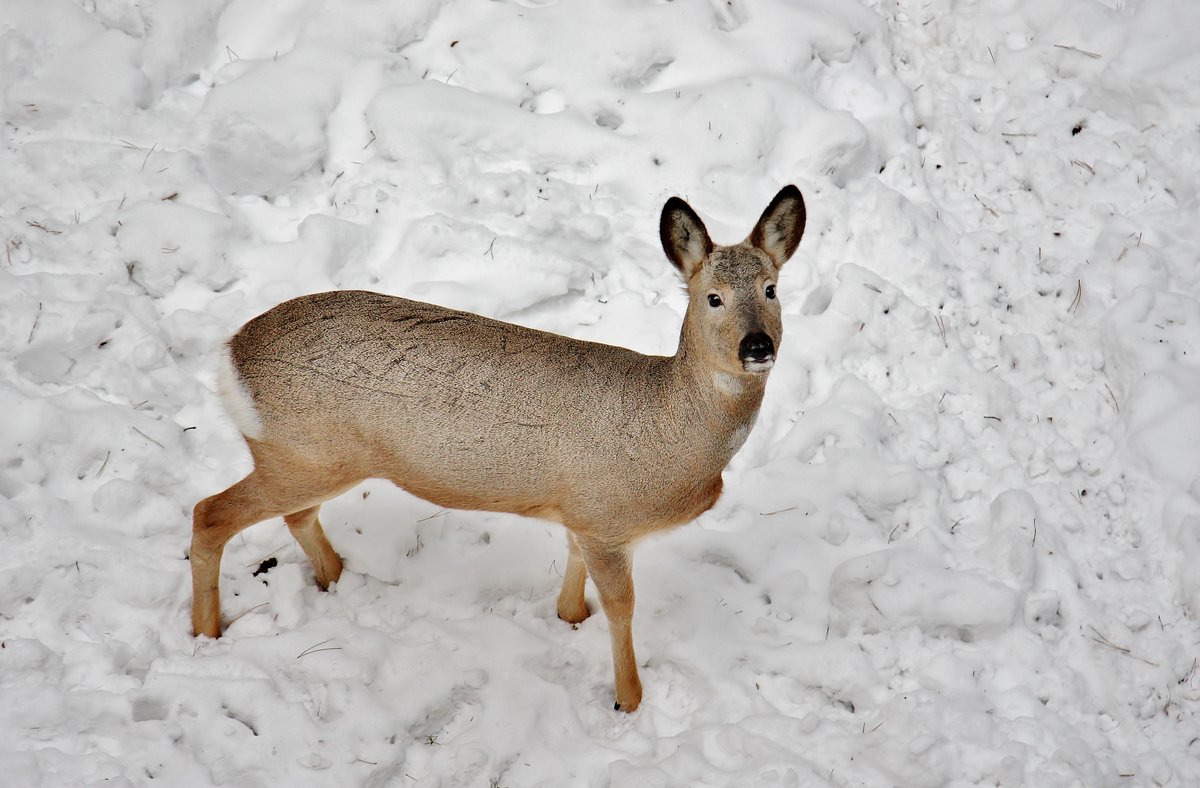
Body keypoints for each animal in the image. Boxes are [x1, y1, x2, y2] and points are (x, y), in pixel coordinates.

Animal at [189, 185, 806, 714]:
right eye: (713, 298)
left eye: (772, 290)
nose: (758, 346)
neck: (671, 432)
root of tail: (229, 358)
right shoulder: (607, 520)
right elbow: (622, 608)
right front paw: (630, 701)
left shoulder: (579, 512)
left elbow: (573, 579)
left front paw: (569, 617)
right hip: (302, 455)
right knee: (209, 513)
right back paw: (206, 632)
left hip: (309, 458)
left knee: (293, 516)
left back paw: (337, 579)